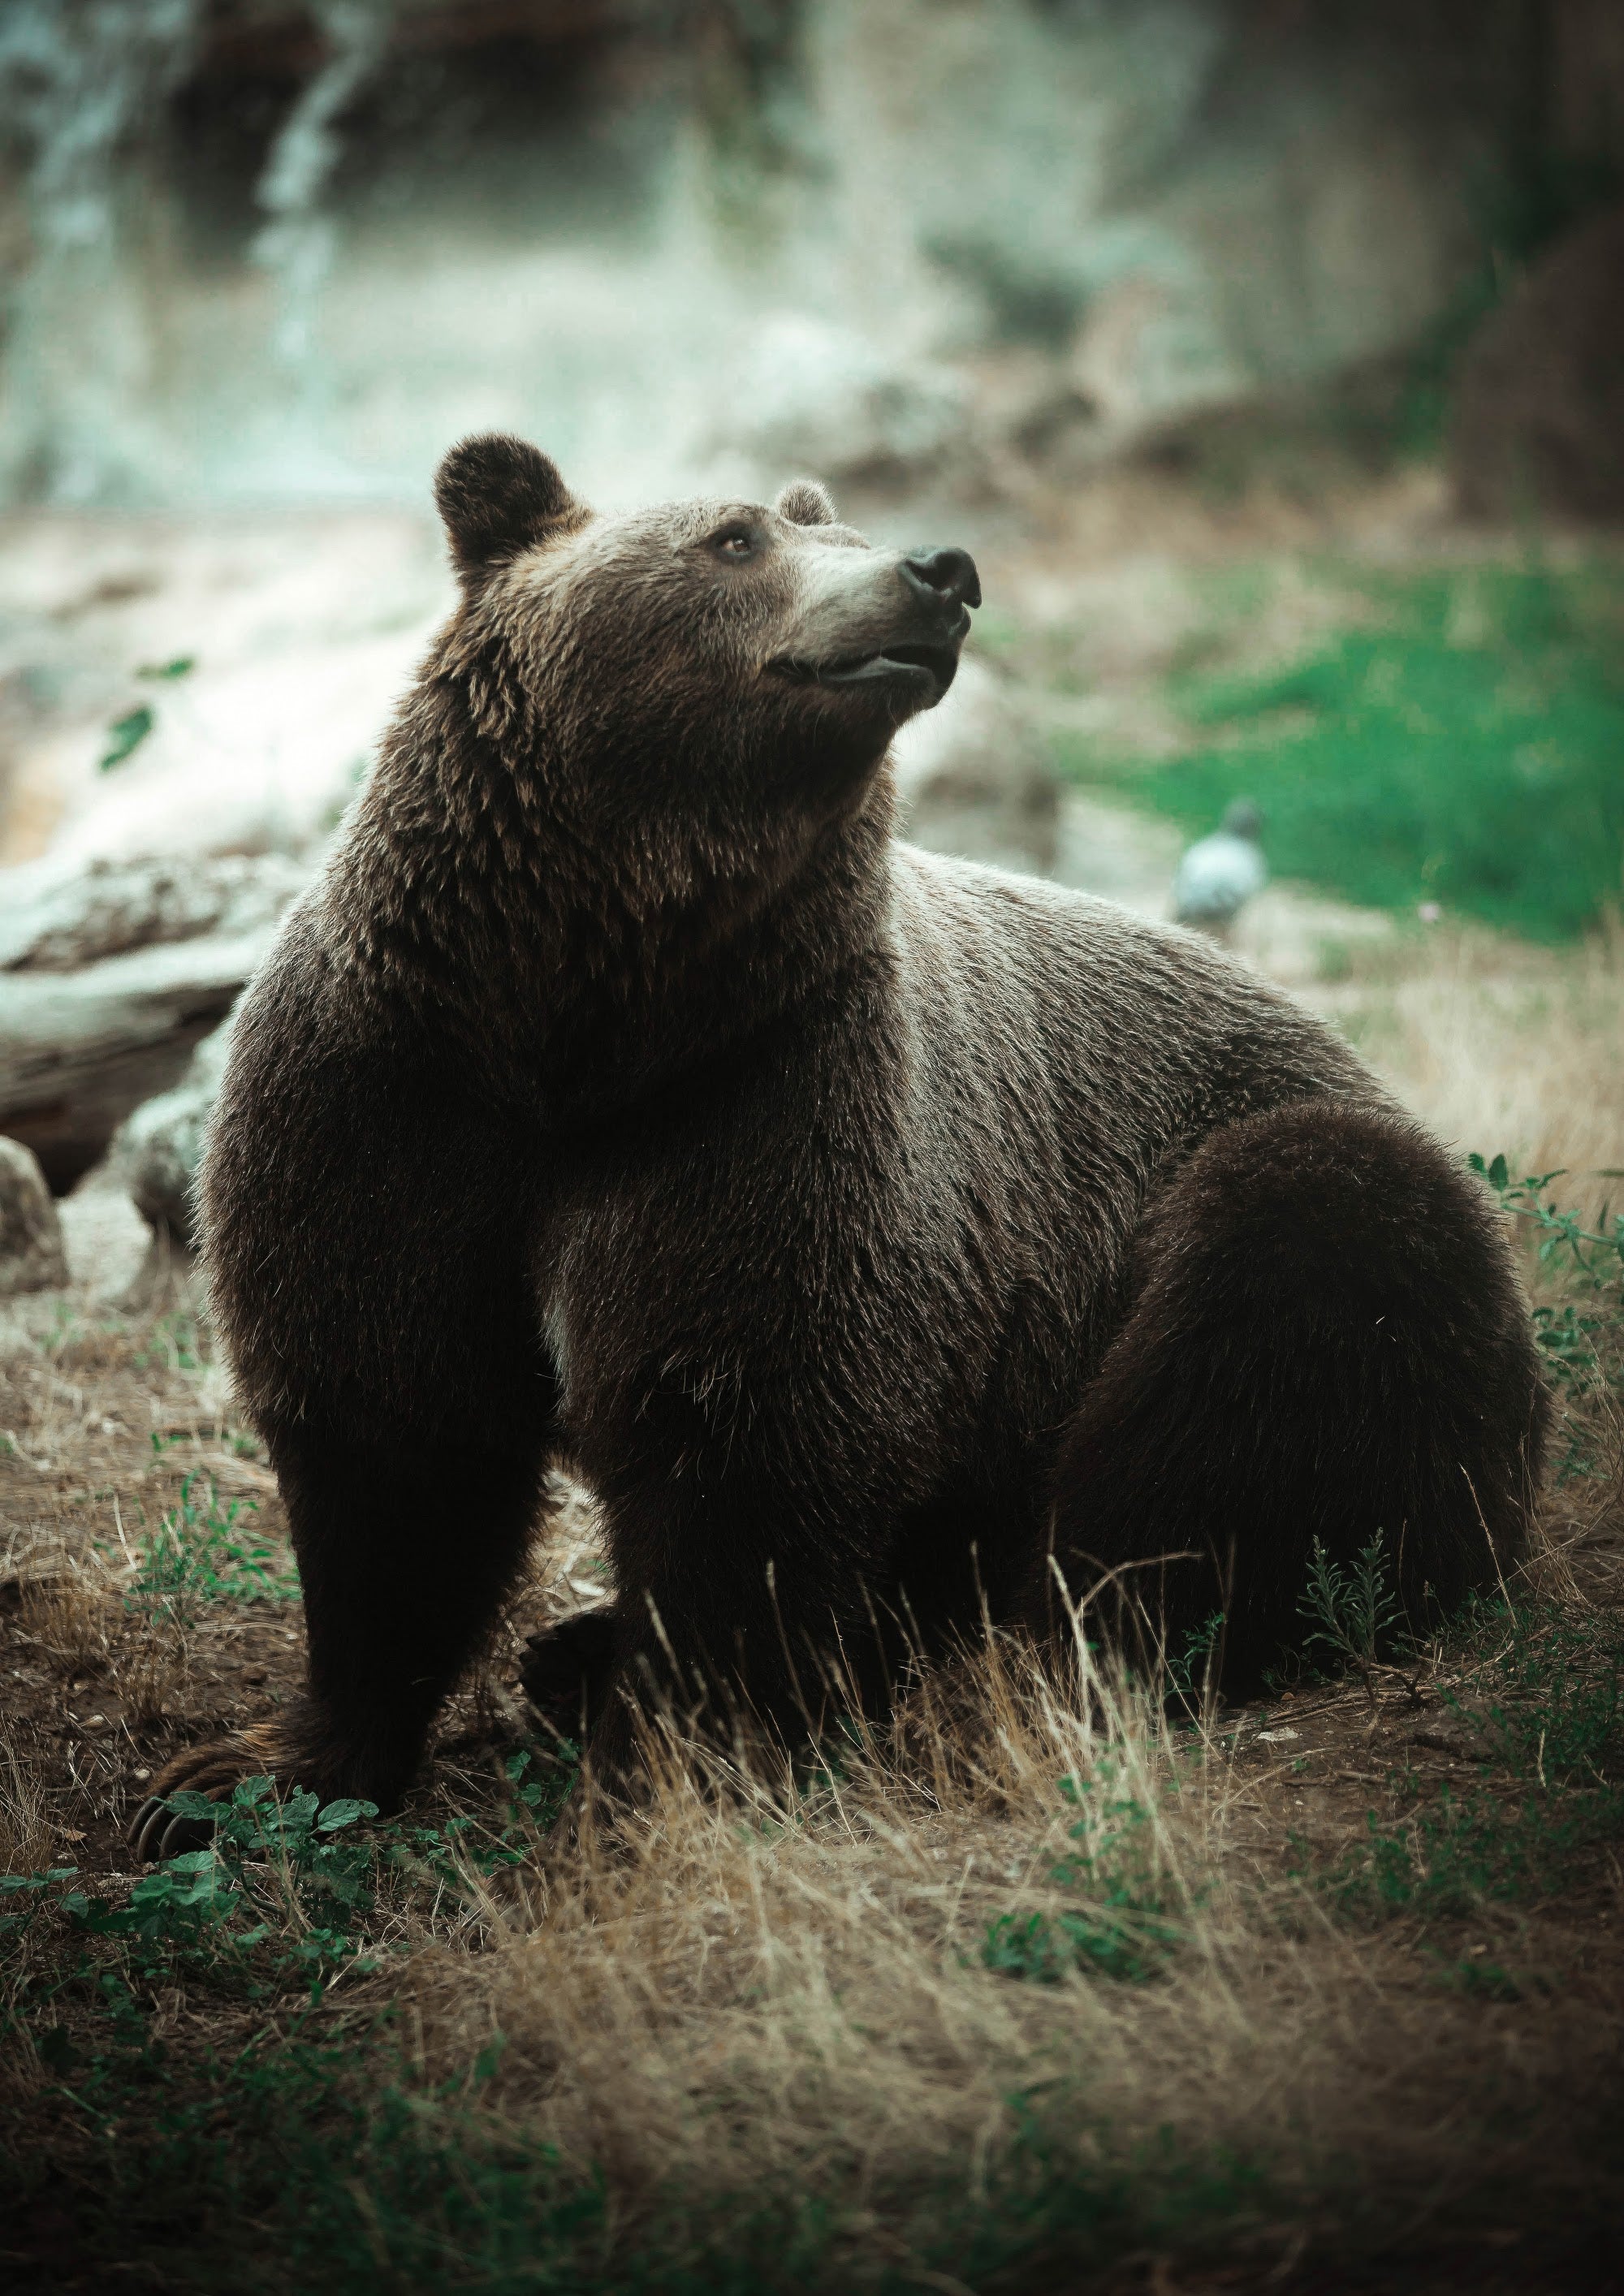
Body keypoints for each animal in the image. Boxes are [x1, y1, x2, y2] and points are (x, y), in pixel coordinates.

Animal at [130, 435, 1546, 1859]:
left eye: (832, 526)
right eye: (736, 537)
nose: (940, 571)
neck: (584, 1018)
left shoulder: (771, 1103)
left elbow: (745, 1437)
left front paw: (673, 1769)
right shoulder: (395, 1099)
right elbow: (394, 1444)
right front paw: (238, 1777)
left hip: (1262, 1211)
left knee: (1270, 1334)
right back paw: (581, 1653)